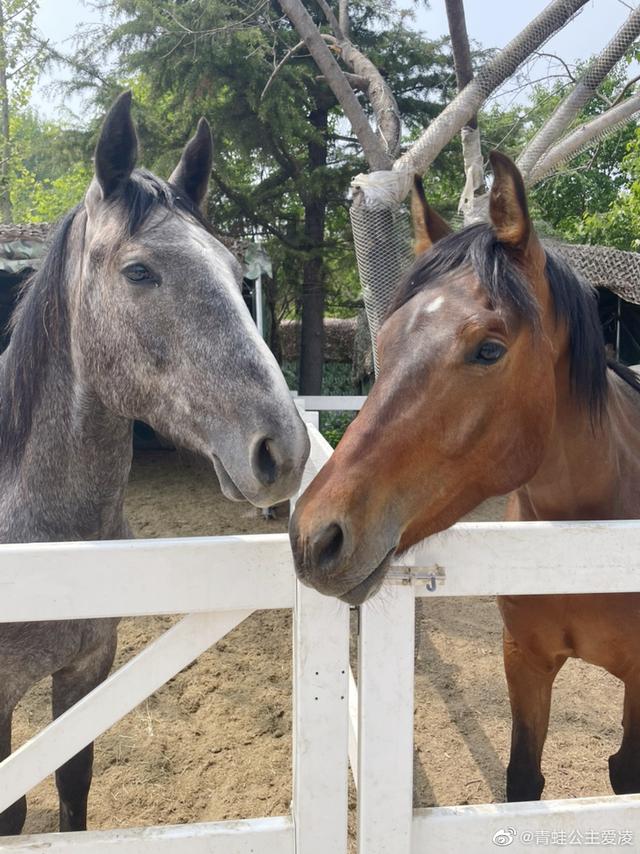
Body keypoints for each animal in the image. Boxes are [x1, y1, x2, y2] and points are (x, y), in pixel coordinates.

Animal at [292, 152, 640, 804]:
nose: (314, 537)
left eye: (489, 349)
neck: (590, 544)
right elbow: (522, 780)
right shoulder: (523, 660)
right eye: (386, 338)